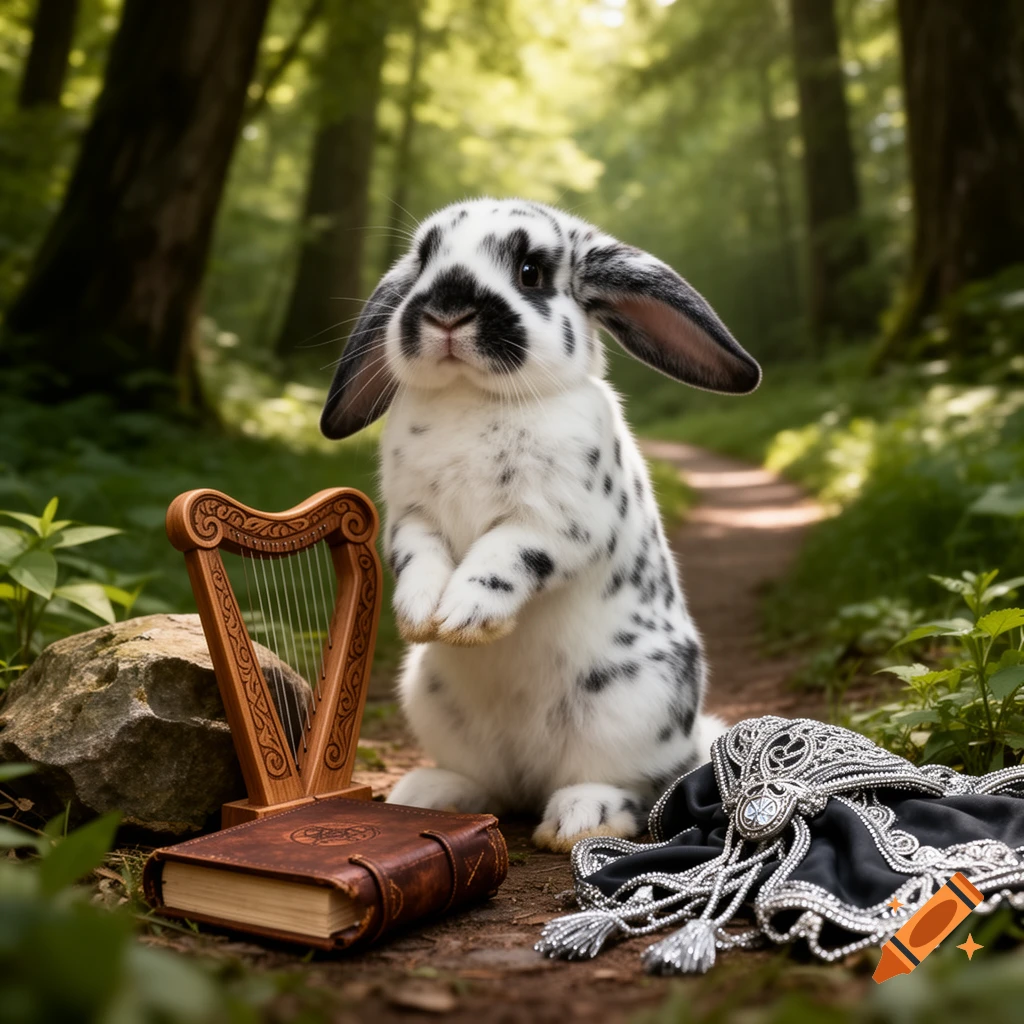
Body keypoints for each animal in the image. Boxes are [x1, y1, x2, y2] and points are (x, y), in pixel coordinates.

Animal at [320, 198, 761, 851]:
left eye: (530, 271)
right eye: (424, 260)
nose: (447, 309)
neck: (472, 397)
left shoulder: (555, 524)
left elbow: (502, 557)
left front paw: (464, 618)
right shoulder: (410, 519)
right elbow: (419, 559)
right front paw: (423, 616)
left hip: (633, 706)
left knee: (630, 786)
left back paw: (580, 819)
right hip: (433, 703)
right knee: (493, 787)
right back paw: (428, 794)